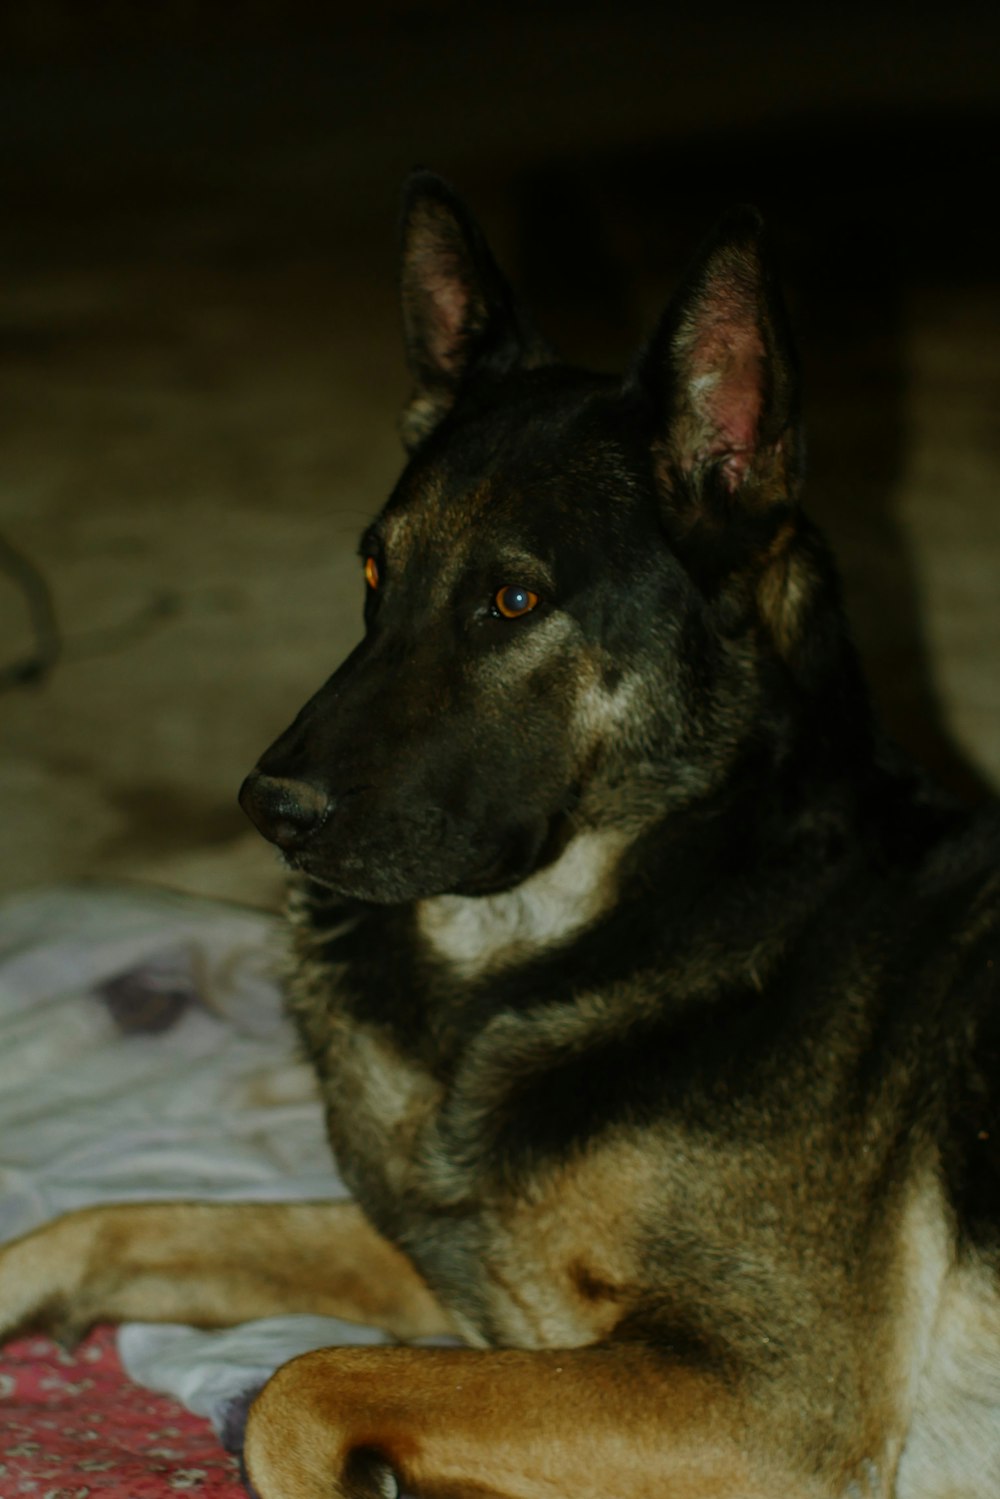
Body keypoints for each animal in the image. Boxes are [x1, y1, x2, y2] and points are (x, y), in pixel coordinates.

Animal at [1, 170, 1000, 1493]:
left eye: (513, 599)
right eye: (374, 574)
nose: (268, 810)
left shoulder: (766, 1401)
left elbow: (296, 1386)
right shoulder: (462, 1272)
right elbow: (122, 1219)